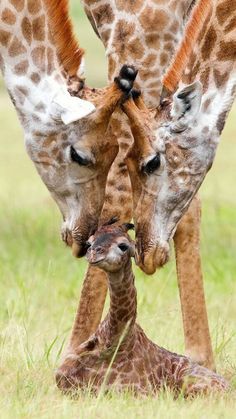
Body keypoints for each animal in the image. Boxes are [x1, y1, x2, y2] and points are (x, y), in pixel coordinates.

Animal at [55, 221, 229, 398]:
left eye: (123, 246)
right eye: (89, 243)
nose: (94, 253)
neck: (112, 340)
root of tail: (229, 387)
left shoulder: (137, 393)